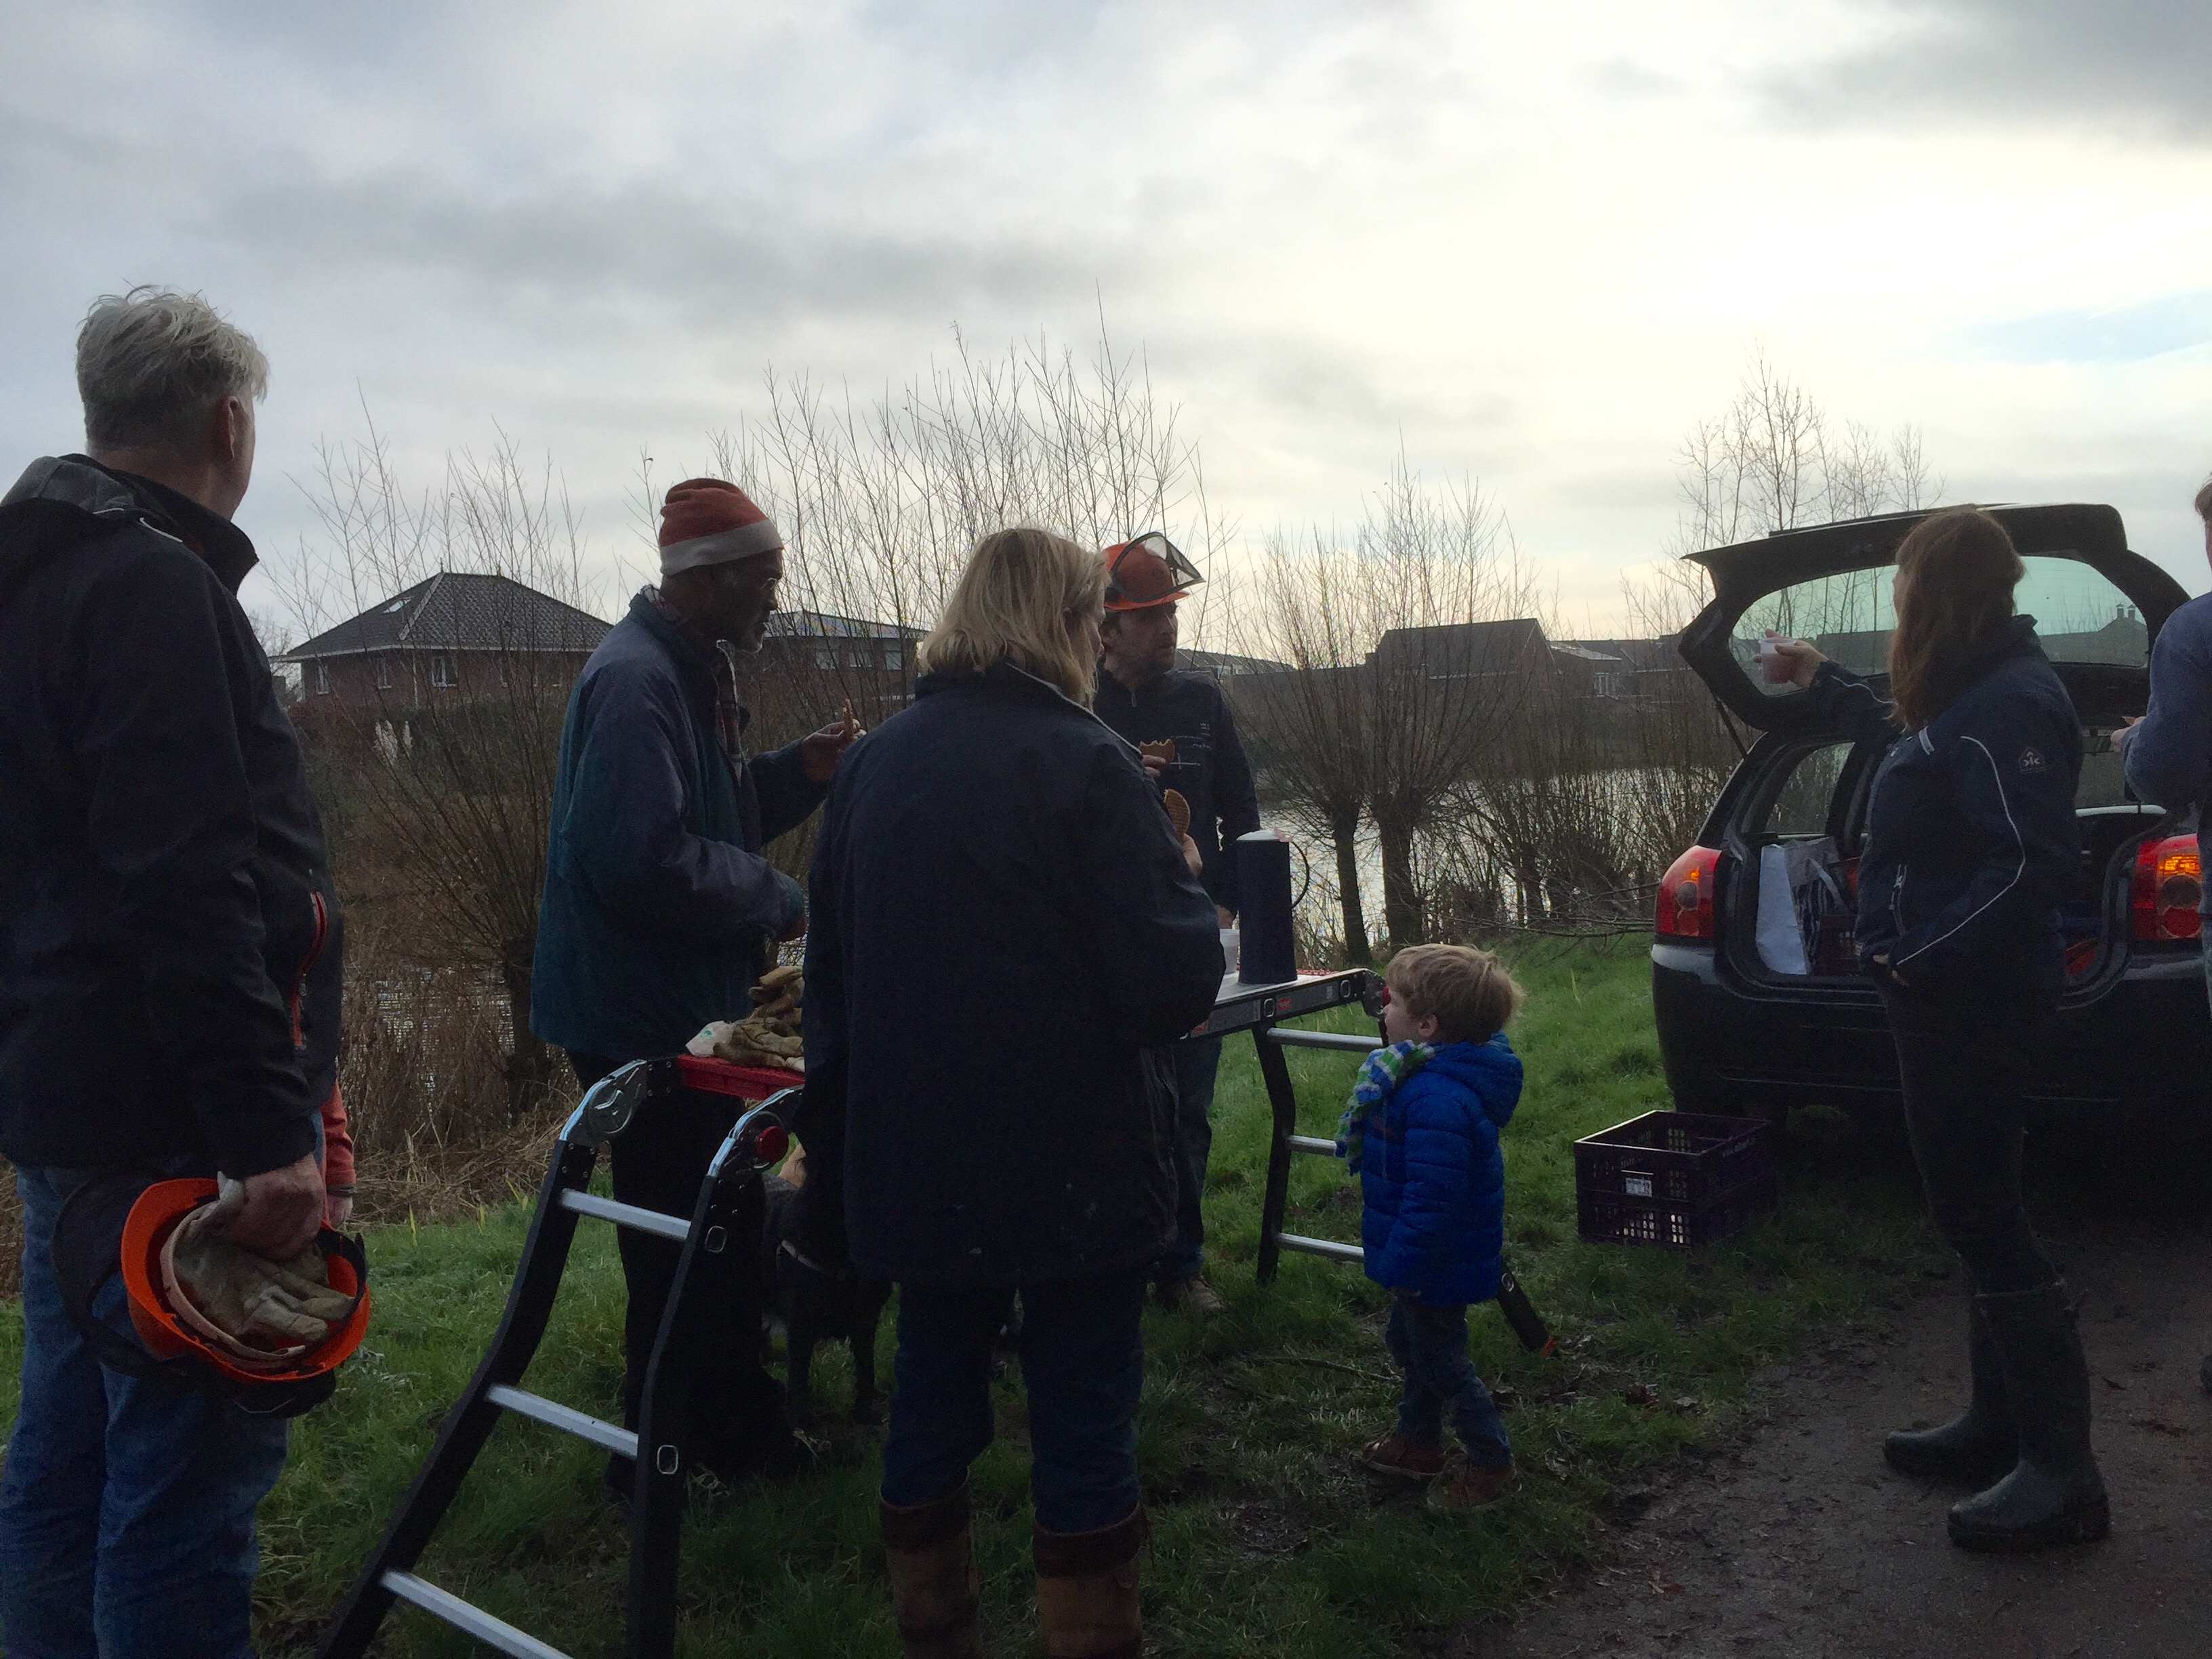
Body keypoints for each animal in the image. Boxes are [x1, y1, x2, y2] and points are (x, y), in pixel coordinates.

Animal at [760, 1168, 889, 1433]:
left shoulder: (866, 1319)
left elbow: (866, 1370)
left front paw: (864, 1415)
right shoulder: (801, 1325)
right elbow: (799, 1380)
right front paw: (799, 1426)